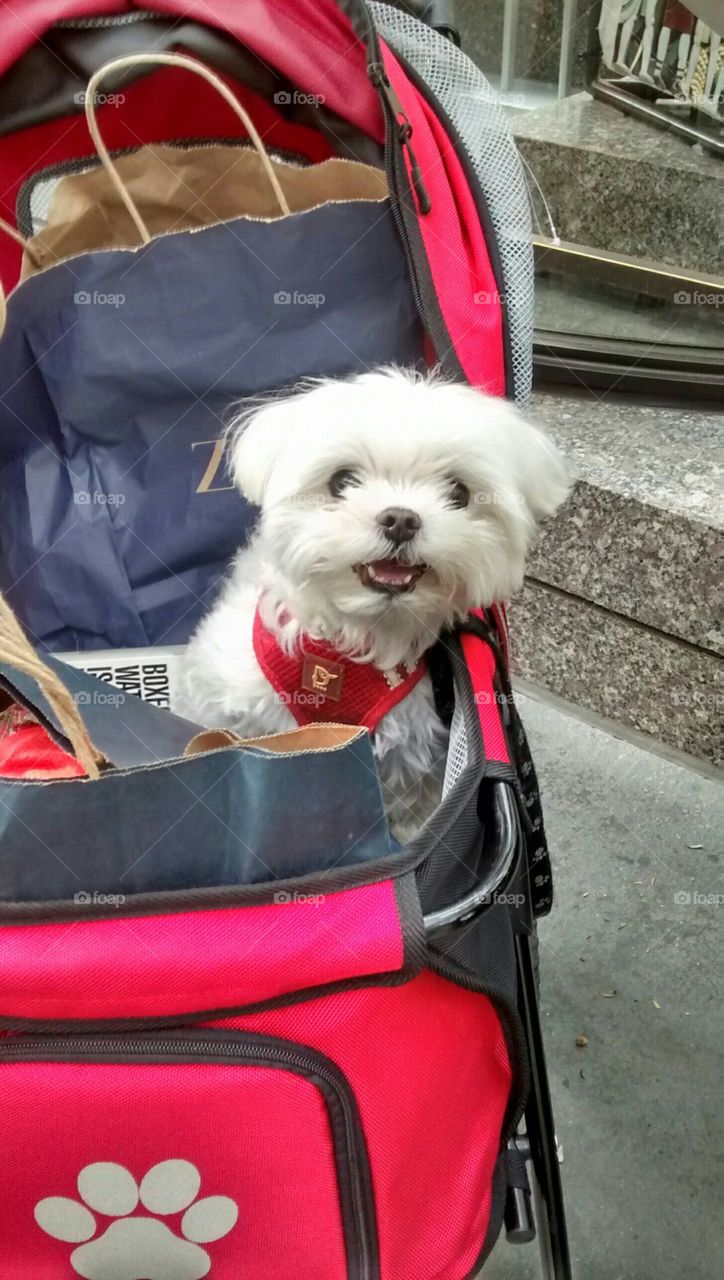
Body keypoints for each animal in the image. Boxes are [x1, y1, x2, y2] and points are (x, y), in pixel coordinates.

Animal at [172, 366, 570, 844]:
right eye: (342, 481)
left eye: (458, 492)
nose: (401, 519)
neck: (362, 635)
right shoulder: (234, 709)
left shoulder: (414, 755)